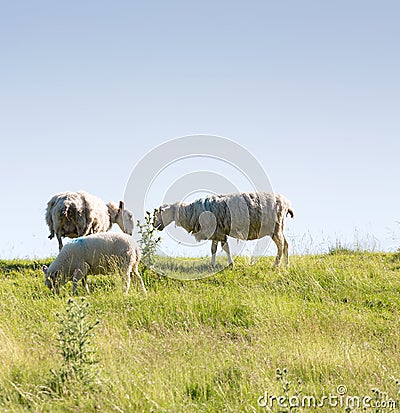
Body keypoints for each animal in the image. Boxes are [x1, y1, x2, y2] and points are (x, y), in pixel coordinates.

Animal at [153, 191, 294, 268]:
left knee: (281, 245)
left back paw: (275, 265)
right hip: (279, 227)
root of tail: (286, 203)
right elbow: (213, 249)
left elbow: (225, 248)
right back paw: (286, 265)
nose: (154, 225)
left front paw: (231, 265)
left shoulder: (219, 232)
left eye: (161, 213)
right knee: (286, 244)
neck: (191, 212)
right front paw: (212, 265)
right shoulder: (215, 232)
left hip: (275, 227)